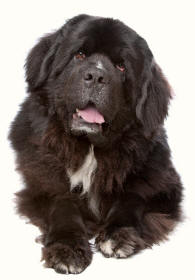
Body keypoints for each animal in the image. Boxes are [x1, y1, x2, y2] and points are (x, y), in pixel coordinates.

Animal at [8, 14, 183, 274]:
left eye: (121, 66)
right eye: (79, 55)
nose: (97, 76)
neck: (90, 149)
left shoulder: (163, 183)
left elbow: (133, 196)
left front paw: (118, 234)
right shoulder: (41, 184)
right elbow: (62, 204)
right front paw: (67, 247)